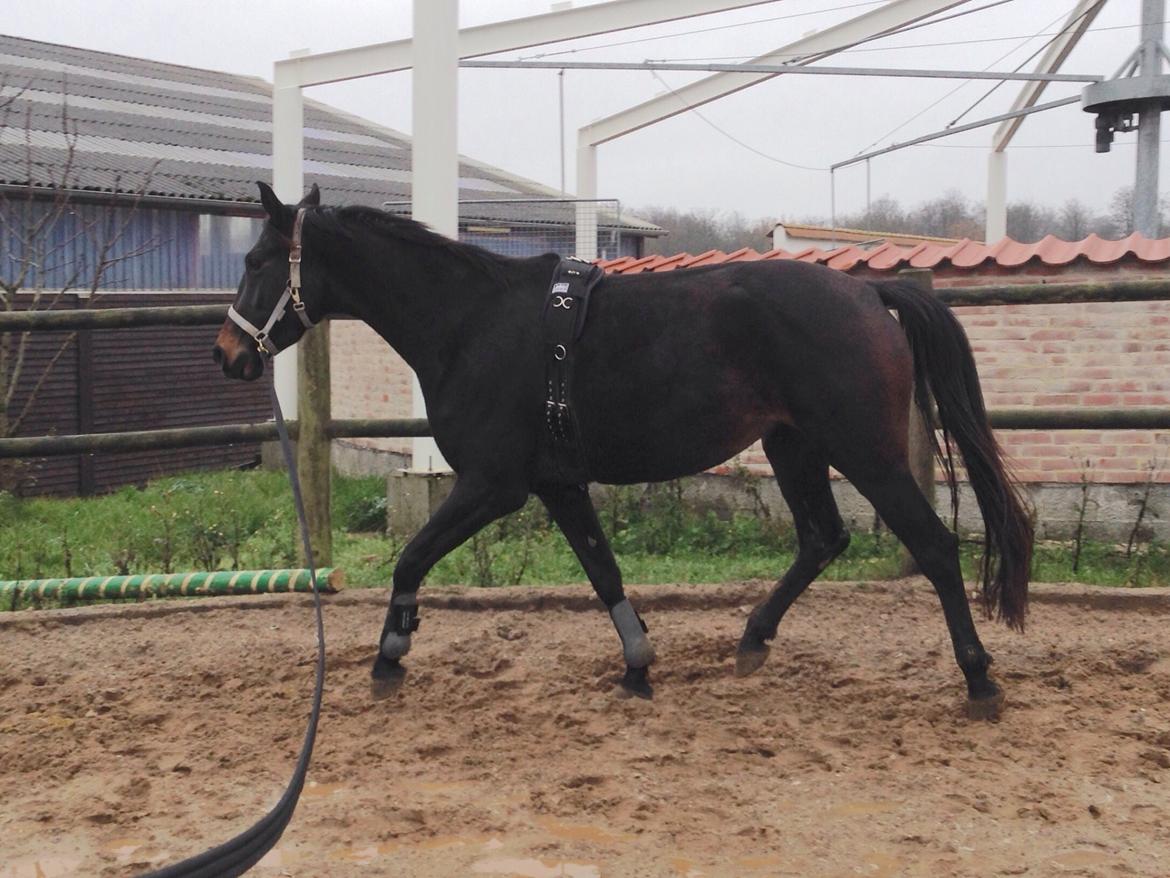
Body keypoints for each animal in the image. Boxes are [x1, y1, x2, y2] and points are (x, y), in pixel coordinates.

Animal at [215, 186, 1029, 721]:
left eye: (256, 260)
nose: (228, 353)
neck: (473, 322)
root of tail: (869, 297)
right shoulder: (557, 484)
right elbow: (601, 569)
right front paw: (638, 667)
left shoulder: (493, 484)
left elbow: (412, 556)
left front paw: (390, 654)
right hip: (792, 444)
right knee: (823, 538)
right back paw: (752, 640)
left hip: (863, 450)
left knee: (933, 546)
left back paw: (979, 680)